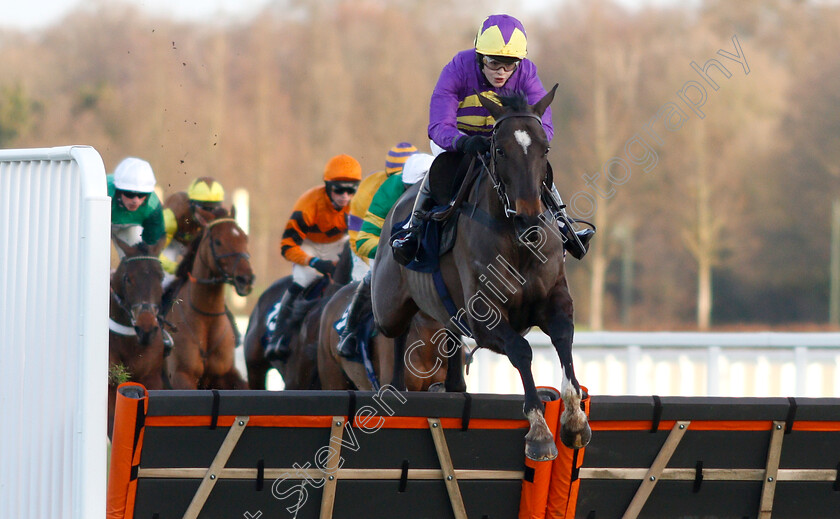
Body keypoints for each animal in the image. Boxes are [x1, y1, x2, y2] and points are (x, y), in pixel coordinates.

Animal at [164, 207, 254, 390]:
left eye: (244, 238)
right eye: (218, 242)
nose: (246, 279)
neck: (206, 316)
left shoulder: (228, 374)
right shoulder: (181, 376)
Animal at [370, 87, 592, 462]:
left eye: (545, 148)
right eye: (499, 150)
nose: (529, 218)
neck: (519, 240)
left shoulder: (554, 299)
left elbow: (563, 337)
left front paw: (575, 419)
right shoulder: (484, 318)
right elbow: (521, 350)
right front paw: (539, 431)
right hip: (388, 307)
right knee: (394, 331)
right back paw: (395, 385)